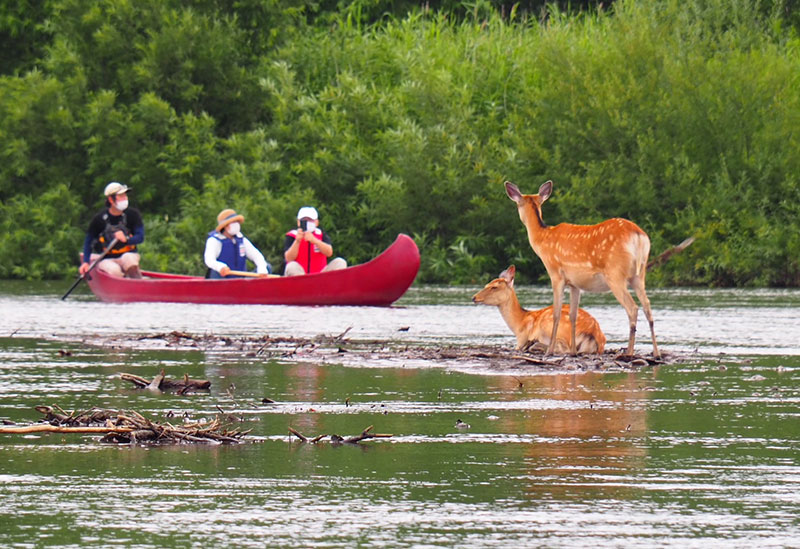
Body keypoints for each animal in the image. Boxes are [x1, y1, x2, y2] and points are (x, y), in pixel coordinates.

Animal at [472, 264, 604, 352]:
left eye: (494, 287)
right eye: (486, 284)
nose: (474, 297)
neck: (519, 323)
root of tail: (593, 333)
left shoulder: (521, 338)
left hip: (552, 326)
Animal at [504, 180, 660, 358]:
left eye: (518, 204)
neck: (543, 240)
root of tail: (639, 237)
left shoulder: (555, 273)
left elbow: (557, 313)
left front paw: (550, 351)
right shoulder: (574, 283)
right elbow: (573, 315)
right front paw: (573, 351)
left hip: (615, 274)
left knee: (633, 308)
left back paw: (629, 352)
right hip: (639, 274)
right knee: (648, 306)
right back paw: (656, 353)